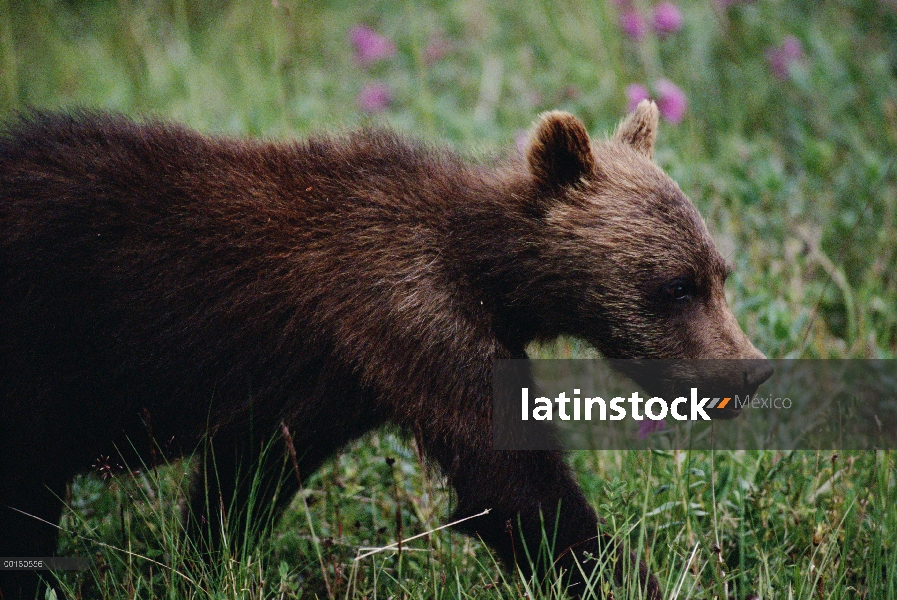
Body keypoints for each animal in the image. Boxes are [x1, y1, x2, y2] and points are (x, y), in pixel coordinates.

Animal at [0, 101, 768, 596]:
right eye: (675, 285)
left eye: (720, 272)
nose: (751, 371)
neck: (484, 272)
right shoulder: (411, 317)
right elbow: (514, 485)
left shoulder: (326, 380)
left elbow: (241, 480)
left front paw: (207, 563)